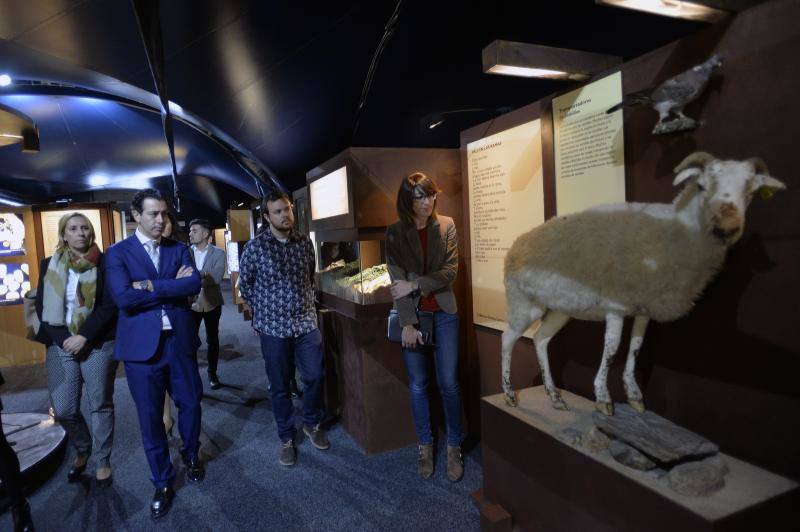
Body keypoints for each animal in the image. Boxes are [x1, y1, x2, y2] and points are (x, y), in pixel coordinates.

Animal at [504, 152, 784, 414]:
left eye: (751, 192)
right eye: (701, 185)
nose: (725, 229)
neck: (675, 232)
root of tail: (516, 244)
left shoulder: (644, 309)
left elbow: (636, 347)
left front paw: (635, 396)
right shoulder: (615, 306)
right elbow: (612, 349)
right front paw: (603, 399)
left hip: (560, 309)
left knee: (540, 339)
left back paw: (555, 397)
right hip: (523, 303)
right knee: (508, 338)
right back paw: (509, 396)